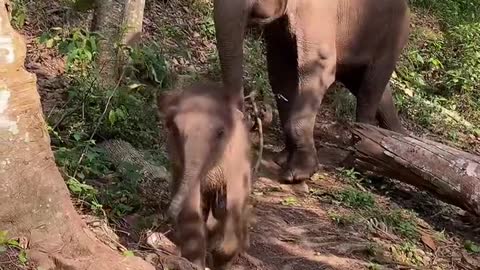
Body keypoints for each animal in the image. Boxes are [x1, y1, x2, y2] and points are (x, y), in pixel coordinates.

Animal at [158, 82, 255, 270]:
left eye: (220, 133)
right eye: (173, 128)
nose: (170, 214)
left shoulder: (235, 163)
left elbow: (233, 205)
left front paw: (223, 259)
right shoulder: (181, 165)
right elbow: (192, 209)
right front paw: (194, 263)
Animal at [214, 0, 408, 182]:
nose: (250, 117)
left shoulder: (317, 13)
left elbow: (320, 65)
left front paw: (297, 174)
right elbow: (280, 72)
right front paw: (283, 160)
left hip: (391, 37)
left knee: (369, 91)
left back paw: (360, 162)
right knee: (377, 93)